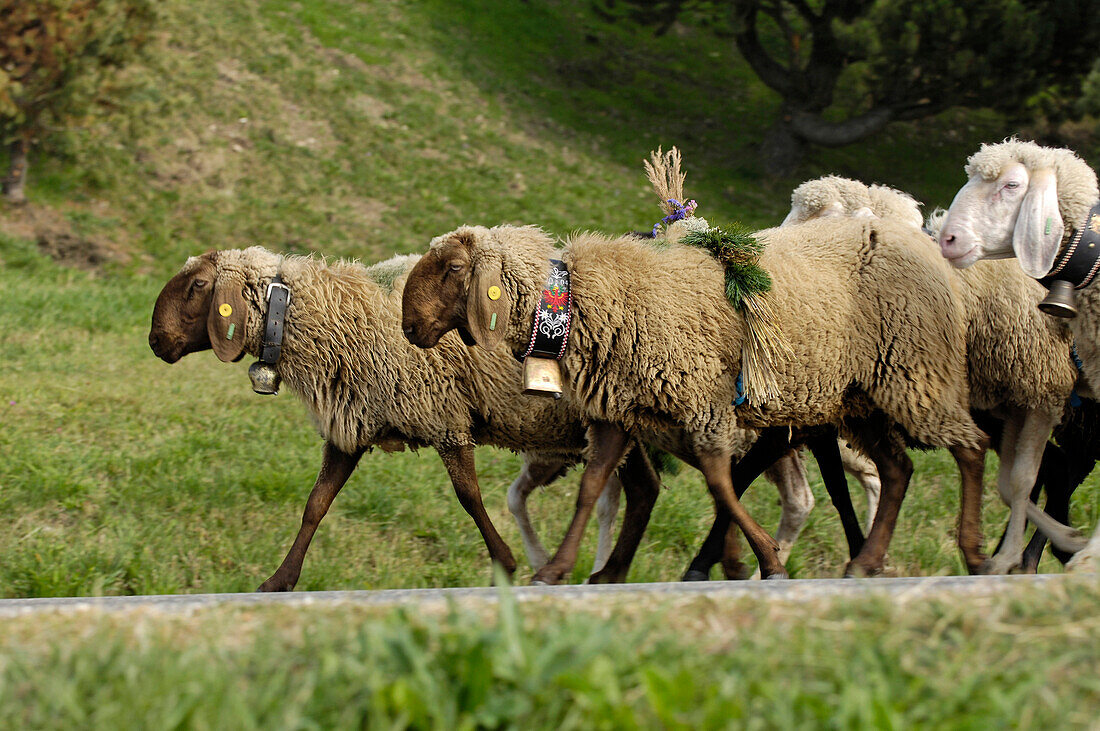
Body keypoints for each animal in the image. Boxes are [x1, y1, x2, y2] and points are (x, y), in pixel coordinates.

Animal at [402, 214, 990, 584]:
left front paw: (765, 561)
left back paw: (975, 553)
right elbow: (592, 488)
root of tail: (934, 255)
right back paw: (865, 562)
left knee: (969, 449)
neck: (579, 304)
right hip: (861, 395)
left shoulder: (703, 401)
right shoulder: (620, 409)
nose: (408, 326)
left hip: (915, 370)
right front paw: (556, 569)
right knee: (898, 470)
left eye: (453, 268)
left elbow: (719, 483)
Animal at [932, 138, 1100, 571]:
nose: (947, 240)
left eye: (1011, 185)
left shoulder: (1043, 394)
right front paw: (1006, 557)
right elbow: (1012, 483)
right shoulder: (1012, 405)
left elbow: (1022, 479)